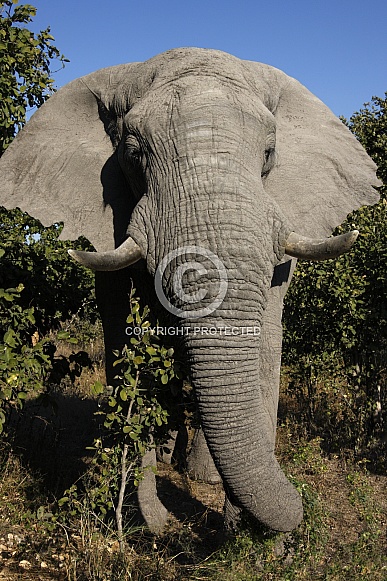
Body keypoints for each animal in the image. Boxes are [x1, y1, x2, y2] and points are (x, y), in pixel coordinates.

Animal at [0, 47, 380, 532]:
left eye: (270, 154)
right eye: (133, 155)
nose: (294, 509)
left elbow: (267, 339)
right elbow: (122, 334)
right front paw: (152, 512)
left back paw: (201, 475)